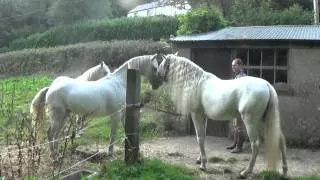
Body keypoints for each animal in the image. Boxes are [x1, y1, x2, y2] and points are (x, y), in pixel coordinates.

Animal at [30, 53, 162, 160]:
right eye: (155, 67)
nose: (157, 85)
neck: (119, 83)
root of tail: (50, 88)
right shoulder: (115, 115)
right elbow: (113, 135)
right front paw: (110, 155)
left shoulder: (123, 114)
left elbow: (126, 132)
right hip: (58, 116)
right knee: (50, 134)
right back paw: (54, 157)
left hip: (65, 116)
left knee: (56, 135)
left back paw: (57, 155)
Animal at [151, 52, 288, 178]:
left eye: (162, 64)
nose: (156, 77)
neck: (196, 83)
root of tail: (267, 85)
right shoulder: (204, 117)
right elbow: (203, 137)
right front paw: (200, 159)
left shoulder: (197, 115)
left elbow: (199, 138)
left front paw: (203, 165)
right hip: (264, 120)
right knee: (281, 140)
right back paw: (284, 171)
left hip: (252, 122)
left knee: (255, 145)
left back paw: (245, 172)